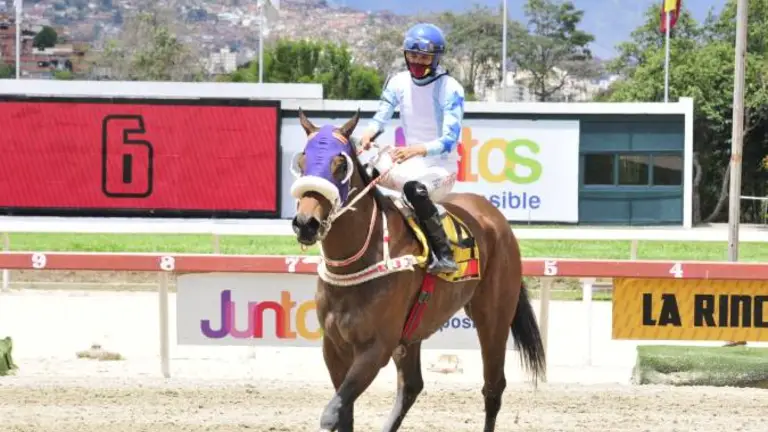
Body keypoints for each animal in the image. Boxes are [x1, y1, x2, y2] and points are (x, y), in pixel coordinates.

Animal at [289, 109, 546, 432]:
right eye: (302, 162)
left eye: (340, 165)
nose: (305, 223)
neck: (357, 262)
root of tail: (494, 216)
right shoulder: (334, 346)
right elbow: (344, 413)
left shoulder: (376, 347)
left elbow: (332, 412)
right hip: (412, 333)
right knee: (412, 385)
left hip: (494, 317)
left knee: (493, 387)